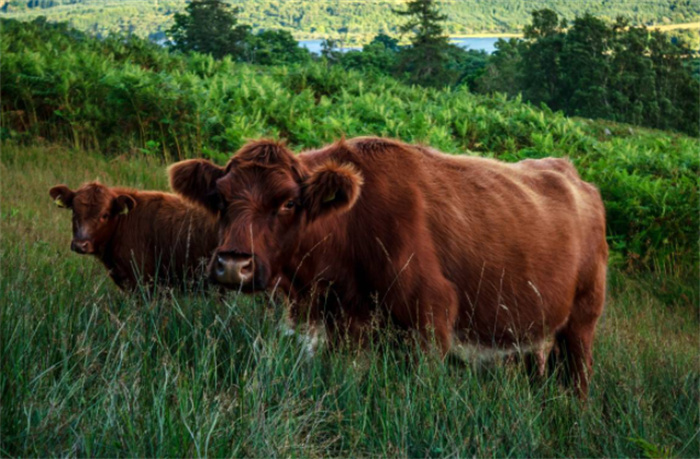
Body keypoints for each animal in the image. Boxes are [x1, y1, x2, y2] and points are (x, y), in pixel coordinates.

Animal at [170, 137, 608, 398]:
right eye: (220, 199)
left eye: (288, 202)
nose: (233, 264)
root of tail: (575, 176)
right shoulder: (343, 329)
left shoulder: (431, 320)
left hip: (582, 322)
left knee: (579, 379)